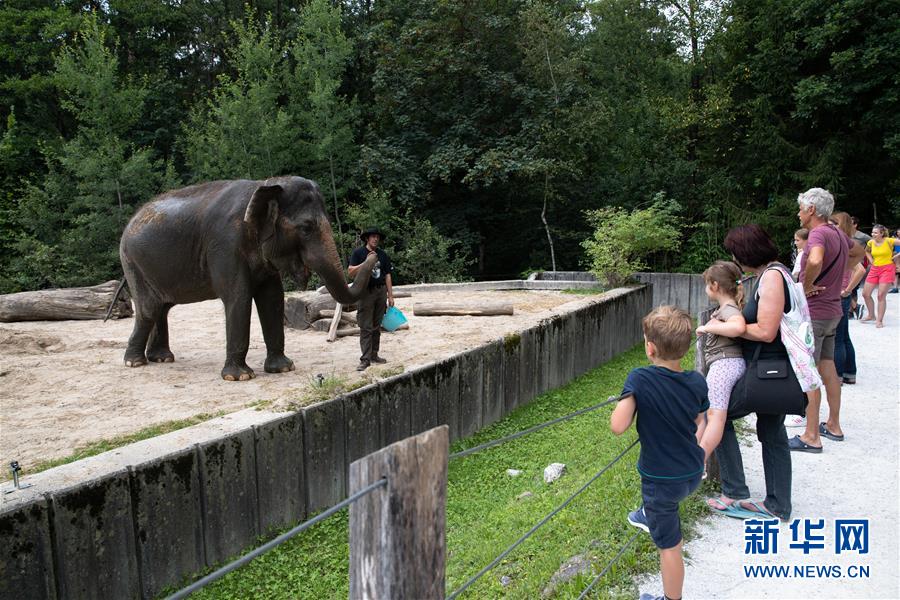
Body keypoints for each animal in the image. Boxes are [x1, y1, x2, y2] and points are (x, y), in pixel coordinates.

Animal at [118, 176, 374, 380]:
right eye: (306, 228)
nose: (373, 255)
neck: (265, 185)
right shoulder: (225, 244)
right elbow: (238, 296)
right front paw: (239, 377)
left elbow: (272, 298)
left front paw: (283, 369)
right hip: (132, 262)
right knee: (149, 309)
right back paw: (135, 362)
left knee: (161, 308)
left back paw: (161, 358)